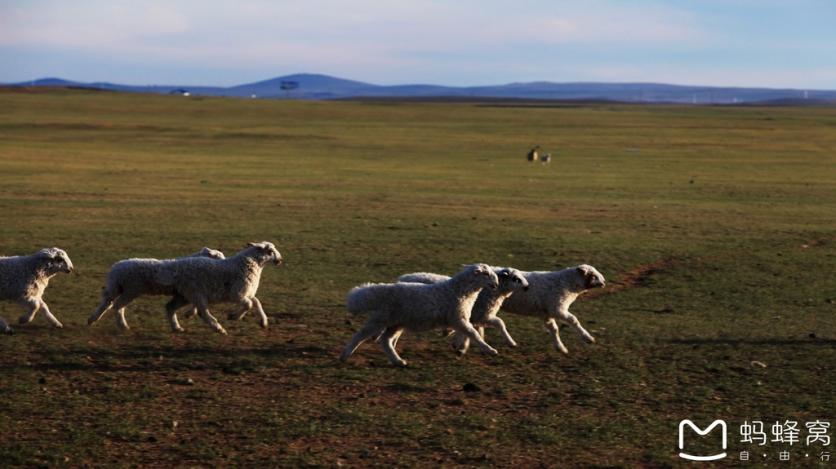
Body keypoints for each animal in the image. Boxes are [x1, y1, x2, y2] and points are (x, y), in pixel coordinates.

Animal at [88, 247, 225, 330]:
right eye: (219, 257)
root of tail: (115, 269)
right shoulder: (190, 289)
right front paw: (191, 313)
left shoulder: (184, 292)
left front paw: (189, 314)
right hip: (130, 290)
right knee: (117, 306)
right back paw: (122, 325)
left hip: (116, 287)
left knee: (107, 303)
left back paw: (92, 320)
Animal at [155, 241, 286, 332]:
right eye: (270, 251)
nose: (280, 260)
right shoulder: (237, 294)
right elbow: (249, 304)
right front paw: (234, 316)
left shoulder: (247, 293)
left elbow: (257, 302)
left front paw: (263, 322)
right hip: (194, 292)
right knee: (200, 309)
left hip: (186, 294)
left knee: (171, 307)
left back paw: (180, 323)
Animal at [342, 264, 500, 366]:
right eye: (486, 274)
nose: (496, 284)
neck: (458, 291)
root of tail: (382, 290)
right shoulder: (458, 318)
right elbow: (474, 333)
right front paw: (489, 350)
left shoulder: (459, 319)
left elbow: (468, 332)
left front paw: (458, 345)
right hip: (381, 319)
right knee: (361, 334)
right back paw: (345, 354)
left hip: (396, 323)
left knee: (386, 340)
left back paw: (398, 361)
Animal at [398, 266, 528, 352]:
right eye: (516, 279)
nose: (527, 287)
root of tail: (402, 277)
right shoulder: (481, 316)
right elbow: (500, 323)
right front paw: (511, 342)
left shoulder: (474, 317)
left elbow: (474, 331)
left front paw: (459, 343)